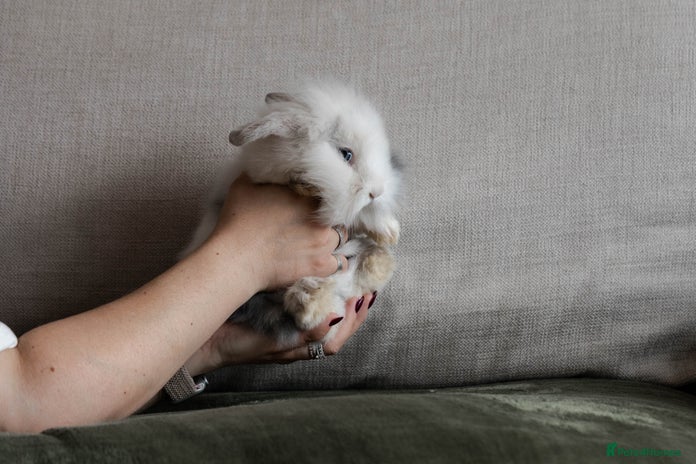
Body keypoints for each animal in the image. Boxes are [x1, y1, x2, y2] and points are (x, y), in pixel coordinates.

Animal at [181, 80, 403, 347]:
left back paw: (377, 262)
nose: (378, 191)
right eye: (346, 154)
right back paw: (310, 302)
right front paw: (305, 185)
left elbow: (360, 216)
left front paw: (389, 232)